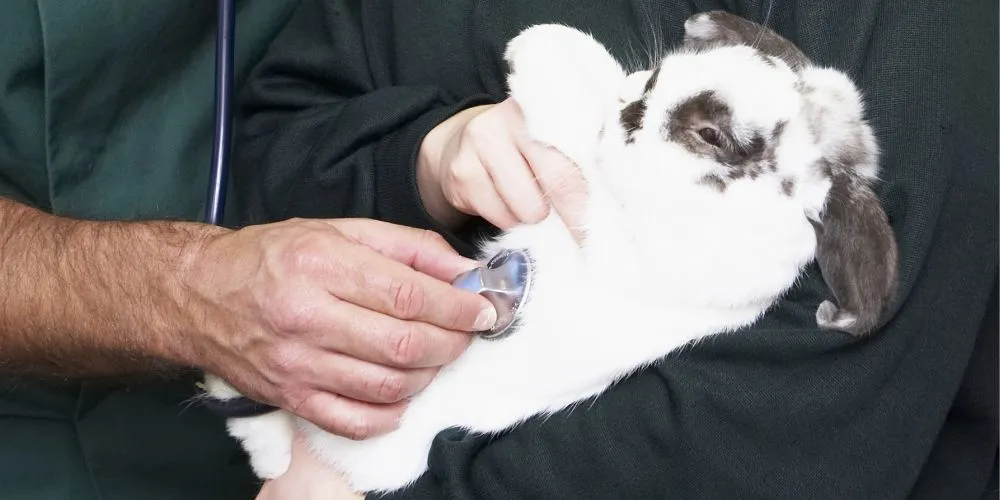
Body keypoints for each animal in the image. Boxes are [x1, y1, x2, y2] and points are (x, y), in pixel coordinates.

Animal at [202, 10, 899, 494]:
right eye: (660, 77)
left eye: (712, 135)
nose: (638, 106)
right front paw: (549, 46)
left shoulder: (629, 238)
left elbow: (588, 144)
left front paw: (538, 53)